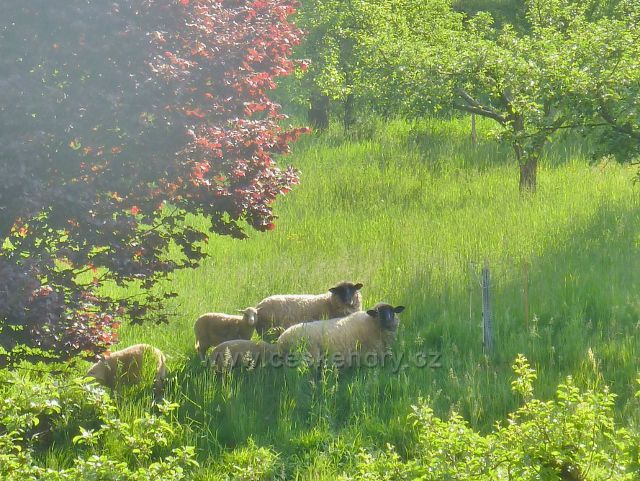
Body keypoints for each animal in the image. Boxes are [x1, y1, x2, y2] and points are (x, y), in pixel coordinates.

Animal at [276, 300, 404, 368]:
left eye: (392, 312)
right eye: (379, 313)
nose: (389, 322)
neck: (371, 323)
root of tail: (282, 339)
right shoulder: (369, 353)